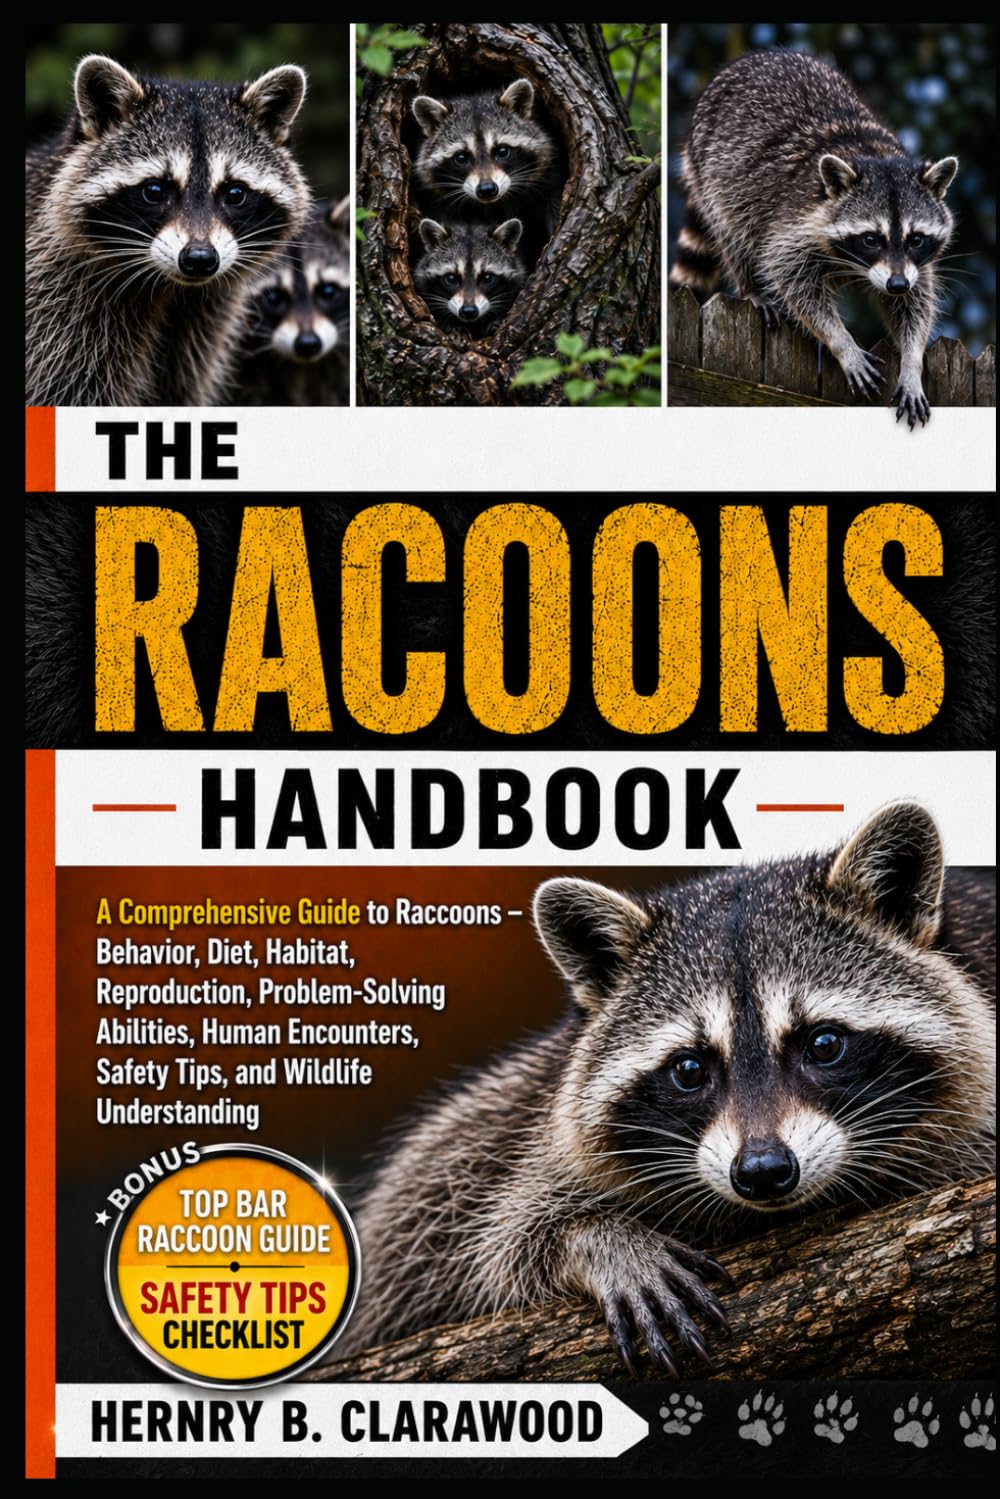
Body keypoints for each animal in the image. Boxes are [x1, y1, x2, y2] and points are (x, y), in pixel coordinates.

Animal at [26, 54, 310, 406]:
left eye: (234, 193)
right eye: (154, 191)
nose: (200, 259)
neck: (168, 290)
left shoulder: (196, 331)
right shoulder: (58, 320)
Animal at [344, 803, 995, 1372]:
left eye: (824, 1044)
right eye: (689, 1069)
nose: (763, 1171)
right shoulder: (506, 1132)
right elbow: (488, 1234)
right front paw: (597, 1239)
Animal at [669, 51, 958, 428]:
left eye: (916, 239)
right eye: (871, 239)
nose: (895, 284)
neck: (876, 157)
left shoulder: (913, 264)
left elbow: (915, 302)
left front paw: (912, 362)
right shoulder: (793, 222)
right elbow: (792, 278)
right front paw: (841, 342)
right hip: (713, 172)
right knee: (732, 231)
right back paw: (750, 286)